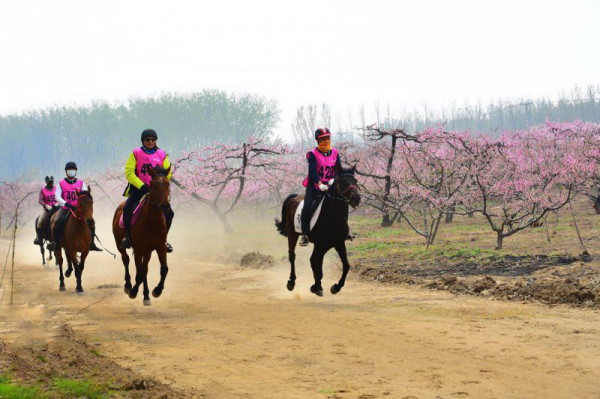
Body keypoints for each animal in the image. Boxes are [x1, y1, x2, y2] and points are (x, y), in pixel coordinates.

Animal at [112, 166, 170, 306]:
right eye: (153, 185)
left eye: (168, 184)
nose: (164, 206)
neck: (152, 222)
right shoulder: (138, 250)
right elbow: (138, 274)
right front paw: (133, 292)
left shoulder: (160, 247)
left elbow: (164, 269)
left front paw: (157, 291)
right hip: (120, 245)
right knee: (126, 259)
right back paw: (128, 285)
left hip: (148, 251)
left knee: (145, 269)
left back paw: (146, 295)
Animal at [276, 166, 360, 296]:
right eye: (342, 182)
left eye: (355, 181)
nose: (356, 199)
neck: (334, 216)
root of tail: (294, 198)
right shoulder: (321, 244)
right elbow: (318, 266)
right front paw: (318, 287)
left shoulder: (338, 243)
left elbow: (346, 266)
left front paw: (336, 287)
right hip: (292, 234)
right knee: (292, 256)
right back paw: (291, 282)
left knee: (312, 260)